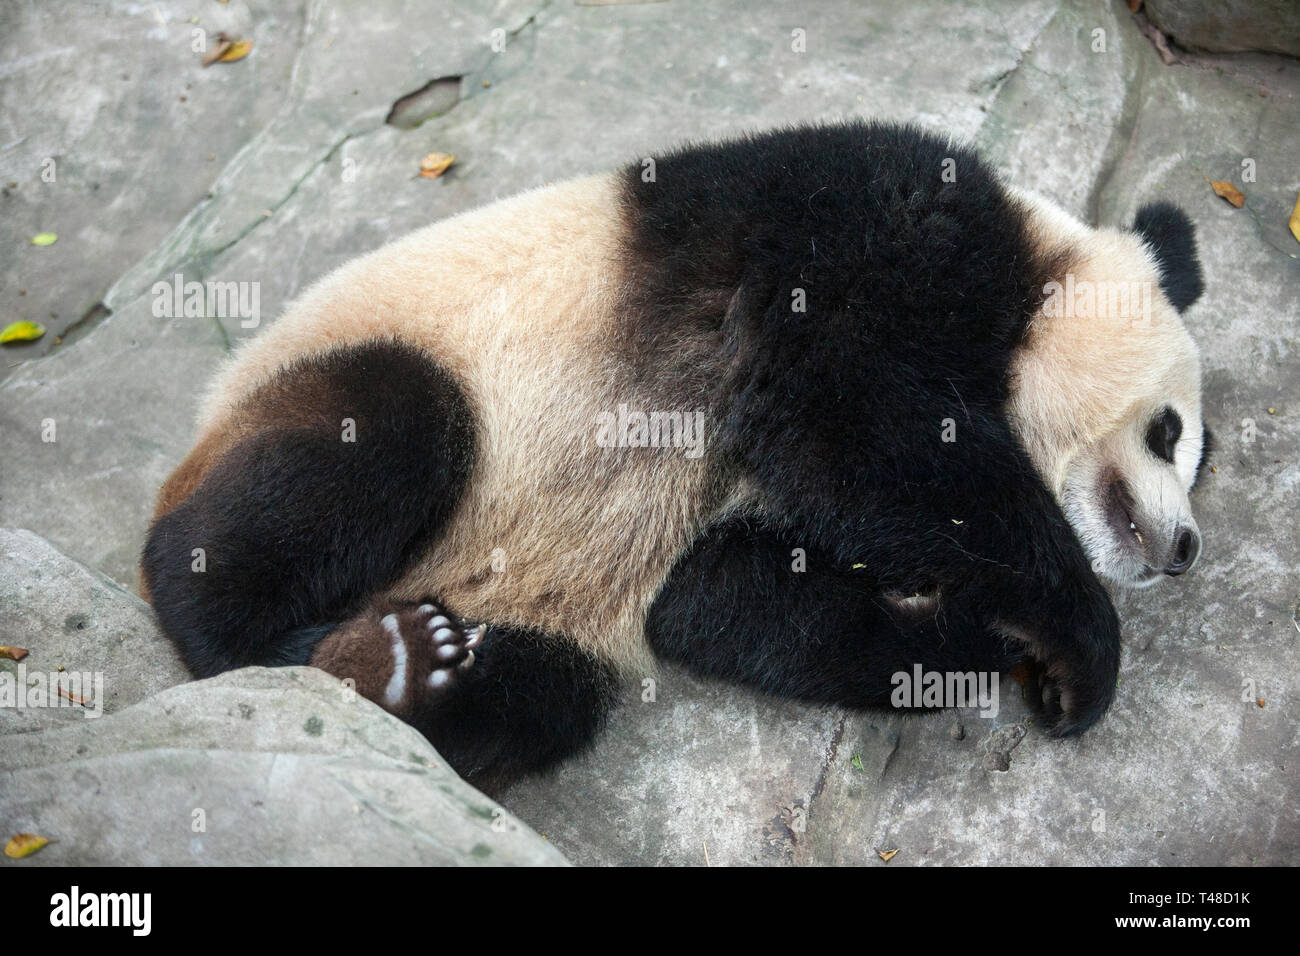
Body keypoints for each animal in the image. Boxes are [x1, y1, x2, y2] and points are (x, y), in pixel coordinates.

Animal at [142, 121, 1206, 790]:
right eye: (1171, 432)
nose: (1186, 548)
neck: (1031, 275)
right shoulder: (876, 215)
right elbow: (853, 406)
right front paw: (1078, 643)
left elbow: (721, 597)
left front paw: (992, 638)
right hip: (368, 376)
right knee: (379, 435)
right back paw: (290, 647)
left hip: (526, 602)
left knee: (543, 696)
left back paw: (407, 670)